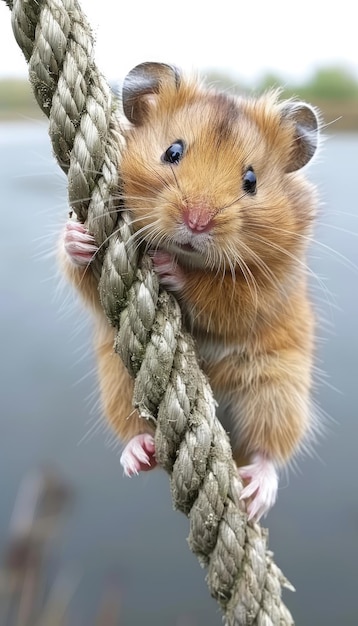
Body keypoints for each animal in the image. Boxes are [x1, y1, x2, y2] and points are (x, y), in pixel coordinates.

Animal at [60, 61, 320, 520]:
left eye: (251, 180)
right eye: (172, 152)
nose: (197, 221)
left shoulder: (269, 284)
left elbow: (225, 295)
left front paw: (170, 267)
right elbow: (83, 271)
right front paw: (77, 239)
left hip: (277, 386)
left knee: (269, 448)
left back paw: (256, 493)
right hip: (119, 381)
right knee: (135, 430)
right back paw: (139, 455)